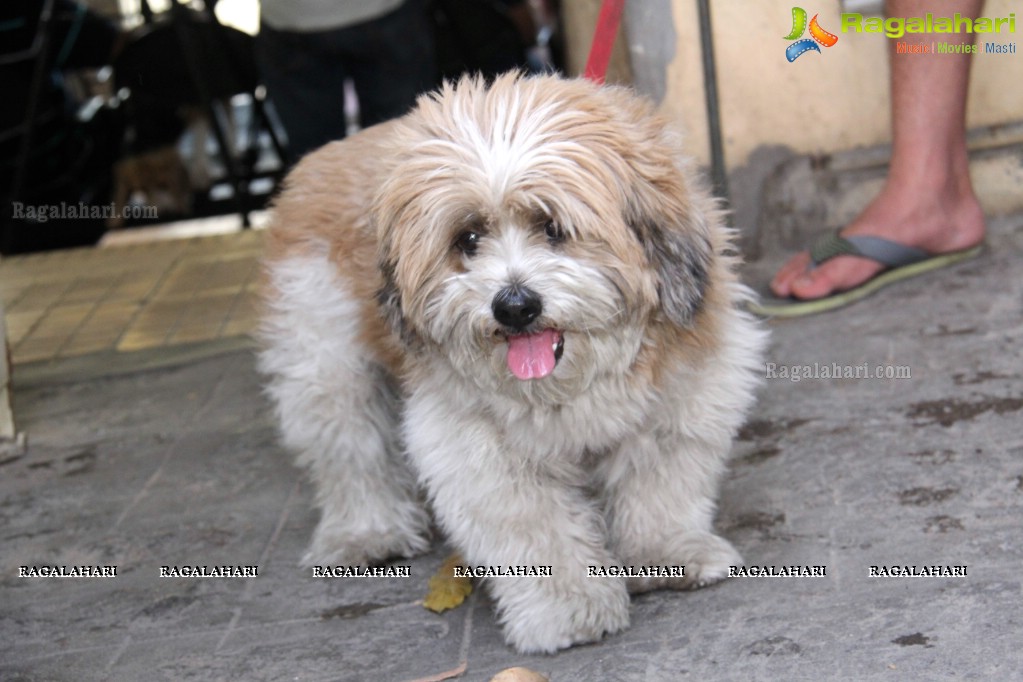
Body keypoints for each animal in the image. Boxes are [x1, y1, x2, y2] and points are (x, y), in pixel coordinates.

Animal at [257, 72, 769, 654]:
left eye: (552, 227)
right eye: (468, 238)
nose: (515, 305)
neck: (572, 381)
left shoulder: (686, 391)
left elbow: (659, 484)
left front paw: (664, 552)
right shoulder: (476, 447)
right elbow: (534, 528)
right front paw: (569, 609)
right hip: (324, 365)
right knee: (350, 452)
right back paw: (367, 532)